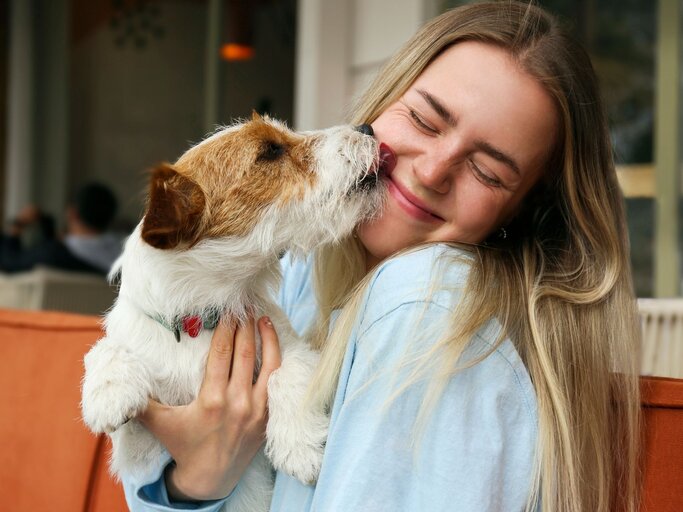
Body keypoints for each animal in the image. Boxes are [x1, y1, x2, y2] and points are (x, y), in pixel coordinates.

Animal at [80, 114, 384, 510]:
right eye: (270, 151)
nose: (367, 129)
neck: (203, 318)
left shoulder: (292, 347)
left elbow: (285, 373)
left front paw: (299, 447)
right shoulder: (140, 451)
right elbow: (105, 349)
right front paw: (106, 393)